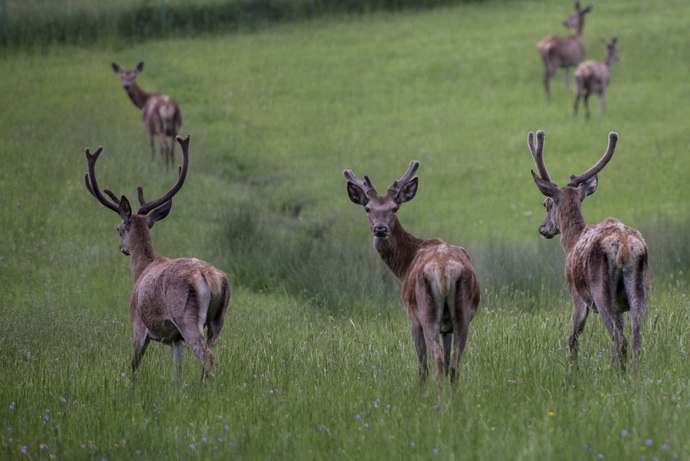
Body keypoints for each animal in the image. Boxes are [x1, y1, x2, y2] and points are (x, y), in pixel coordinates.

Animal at [84, 134, 230, 380]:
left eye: (118, 228)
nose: (122, 248)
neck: (141, 270)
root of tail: (210, 277)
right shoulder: (175, 339)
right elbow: (176, 372)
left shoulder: (138, 324)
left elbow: (133, 365)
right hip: (218, 319)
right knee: (210, 351)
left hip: (187, 317)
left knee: (207, 357)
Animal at [342, 160, 478, 382]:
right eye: (368, 208)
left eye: (394, 208)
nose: (380, 229)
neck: (405, 265)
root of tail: (444, 271)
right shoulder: (446, 327)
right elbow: (448, 359)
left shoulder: (411, 316)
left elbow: (422, 366)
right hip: (462, 313)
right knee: (453, 364)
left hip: (426, 312)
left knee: (435, 361)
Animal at [528, 128, 644, 370]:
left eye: (546, 204)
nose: (542, 228)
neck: (572, 241)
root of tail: (625, 247)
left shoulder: (576, 294)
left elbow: (572, 337)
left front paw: (573, 372)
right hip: (640, 289)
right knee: (637, 338)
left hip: (601, 292)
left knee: (620, 340)